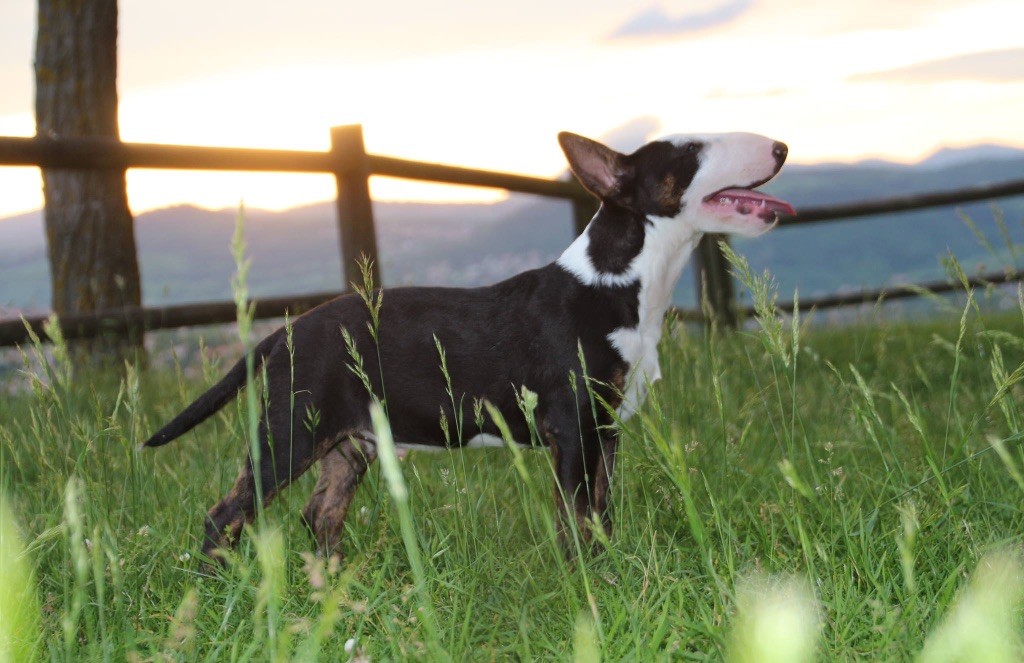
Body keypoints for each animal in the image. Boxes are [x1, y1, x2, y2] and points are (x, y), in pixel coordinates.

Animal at [144, 130, 793, 560]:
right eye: (691, 152)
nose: (783, 147)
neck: (621, 280)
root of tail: (282, 332)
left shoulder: (605, 429)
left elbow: (602, 512)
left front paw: (610, 568)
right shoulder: (571, 425)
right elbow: (576, 517)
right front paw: (588, 582)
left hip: (351, 443)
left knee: (318, 515)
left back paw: (330, 589)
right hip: (290, 432)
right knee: (224, 515)